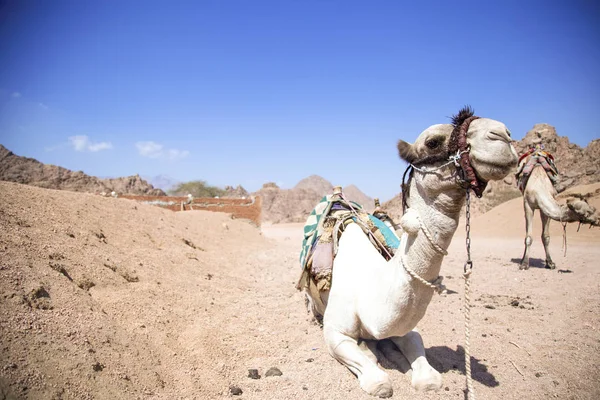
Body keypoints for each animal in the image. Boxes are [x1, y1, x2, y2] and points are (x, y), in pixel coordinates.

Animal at [302, 108, 516, 398]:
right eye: (433, 142)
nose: (503, 135)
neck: (369, 293)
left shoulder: (407, 329)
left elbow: (427, 372)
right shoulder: (336, 333)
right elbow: (378, 381)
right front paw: (373, 356)